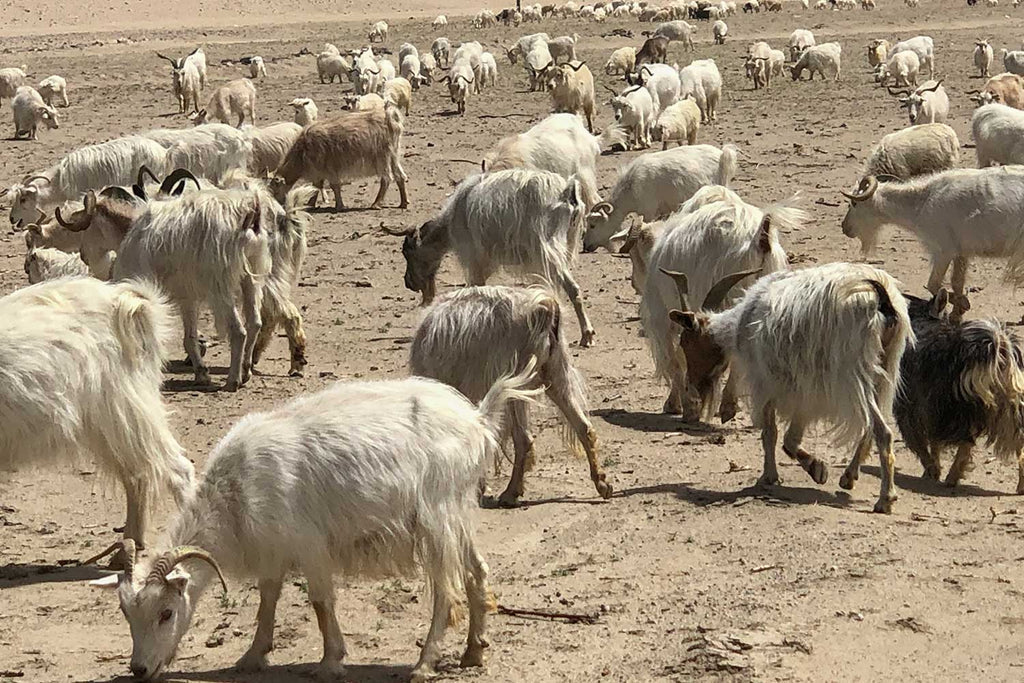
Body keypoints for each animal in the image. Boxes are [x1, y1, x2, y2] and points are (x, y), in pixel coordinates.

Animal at [1, 278, 193, 561]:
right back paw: (127, 548)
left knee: (178, 470)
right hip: (109, 424)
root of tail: (125, 301)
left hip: (126, 409)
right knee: (138, 475)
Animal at [276, 102, 411, 210]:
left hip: (382, 157)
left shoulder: (327, 168)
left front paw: (339, 206)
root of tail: (390, 117)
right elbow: (317, 187)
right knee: (400, 176)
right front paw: (310, 204)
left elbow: (332, 186)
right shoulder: (320, 171)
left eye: (273, 189)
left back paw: (376, 204)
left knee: (387, 179)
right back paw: (403, 203)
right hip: (393, 155)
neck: (301, 152)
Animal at [391, 165, 598, 348]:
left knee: (571, 287)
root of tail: (567, 192)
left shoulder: (474, 259)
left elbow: (475, 289)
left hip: (548, 248)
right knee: (574, 289)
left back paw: (584, 334)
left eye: (407, 253)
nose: (408, 282)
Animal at [409, 286, 614, 505]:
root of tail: (542, 307)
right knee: (584, 427)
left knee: (524, 439)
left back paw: (510, 493)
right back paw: (602, 483)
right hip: (556, 374)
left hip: (515, 385)